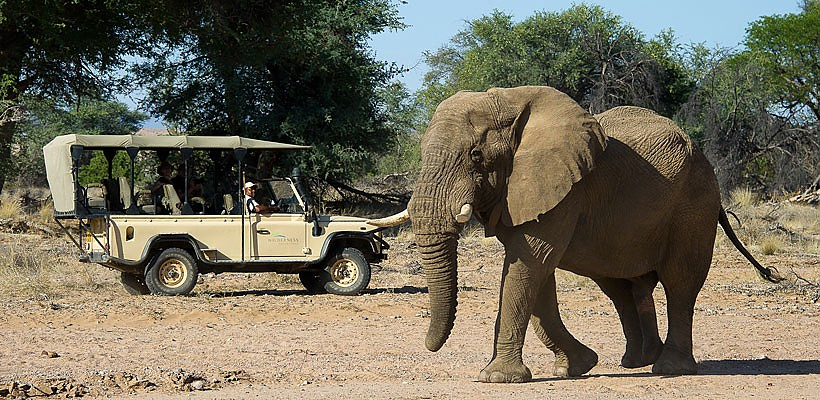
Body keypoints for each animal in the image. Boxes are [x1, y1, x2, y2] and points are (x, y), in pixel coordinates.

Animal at [366, 86, 780, 382]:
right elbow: (535, 274)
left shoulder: (562, 189)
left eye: (476, 157)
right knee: (621, 287)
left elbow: (528, 265)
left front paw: (495, 378)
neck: (510, 103)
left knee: (680, 282)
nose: (428, 346)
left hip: (694, 204)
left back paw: (669, 368)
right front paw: (576, 367)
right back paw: (636, 362)